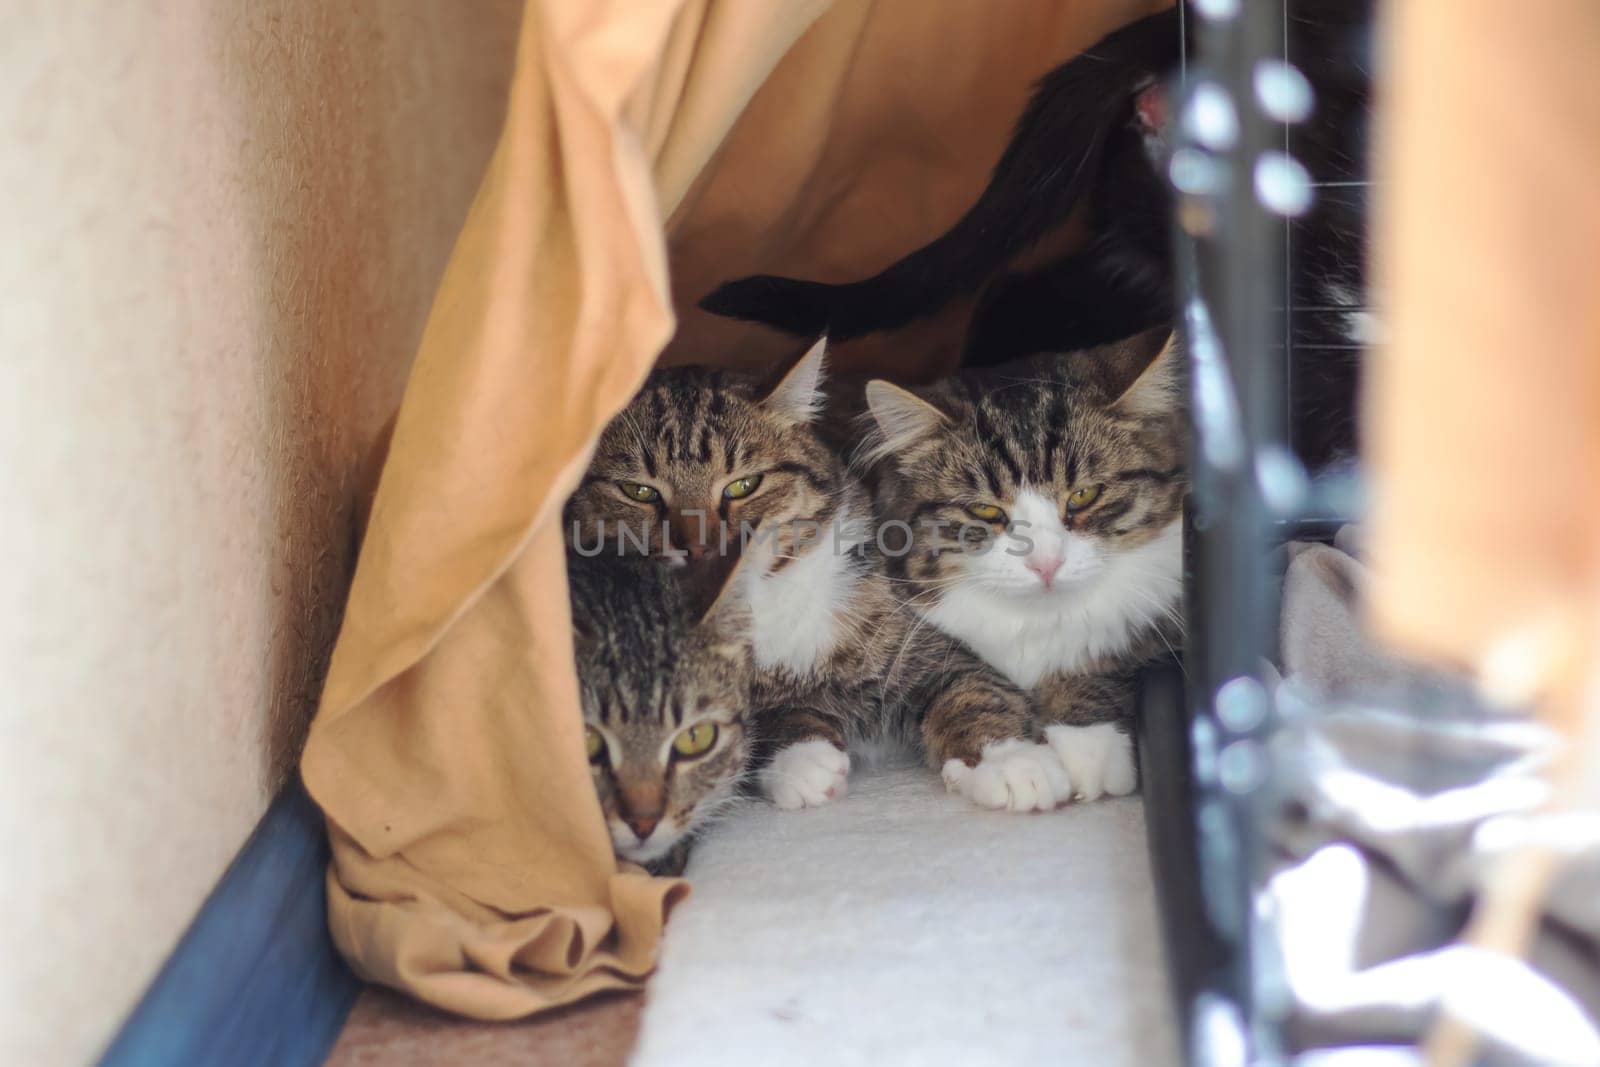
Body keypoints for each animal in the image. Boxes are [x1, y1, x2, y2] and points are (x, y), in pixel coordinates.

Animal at [864, 329, 1190, 796]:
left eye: (1084, 495)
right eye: (985, 510)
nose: (1046, 564)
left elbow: (1101, 665)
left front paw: (1090, 749)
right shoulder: (926, 647)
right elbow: (968, 692)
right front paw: (1012, 767)